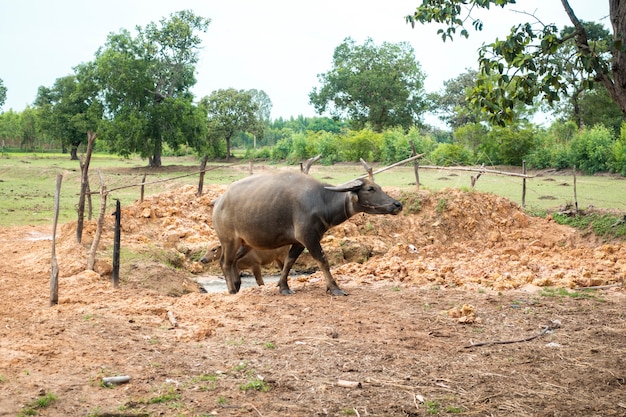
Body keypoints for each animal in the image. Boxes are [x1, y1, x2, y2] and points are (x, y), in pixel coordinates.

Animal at [212, 172, 402, 296]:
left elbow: (289, 262)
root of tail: (219, 201)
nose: (397, 204)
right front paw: (334, 288)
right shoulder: (309, 237)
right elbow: (322, 260)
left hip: (246, 243)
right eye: (370, 189)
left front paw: (283, 287)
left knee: (233, 260)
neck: (322, 201)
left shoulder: (299, 242)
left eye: (379, 187)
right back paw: (231, 289)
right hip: (229, 240)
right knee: (225, 262)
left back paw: (237, 284)